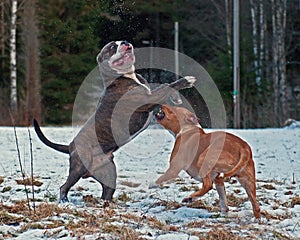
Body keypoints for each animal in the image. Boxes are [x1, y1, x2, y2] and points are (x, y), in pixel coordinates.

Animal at [33, 40, 197, 202]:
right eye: (112, 46)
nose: (125, 42)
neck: (125, 76)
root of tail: (70, 146)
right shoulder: (147, 99)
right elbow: (166, 86)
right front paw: (186, 81)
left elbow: (165, 90)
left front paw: (176, 98)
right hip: (78, 168)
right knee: (64, 186)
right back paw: (64, 200)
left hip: (108, 171)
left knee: (107, 190)